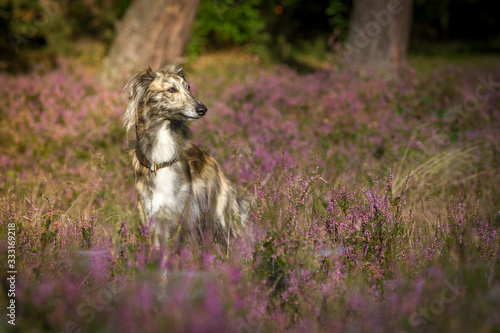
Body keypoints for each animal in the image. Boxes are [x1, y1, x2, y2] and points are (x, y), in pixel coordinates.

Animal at [119, 65, 252, 248]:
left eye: (188, 87)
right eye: (171, 89)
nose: (203, 109)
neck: (161, 159)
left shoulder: (182, 214)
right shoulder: (152, 217)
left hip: (223, 215)